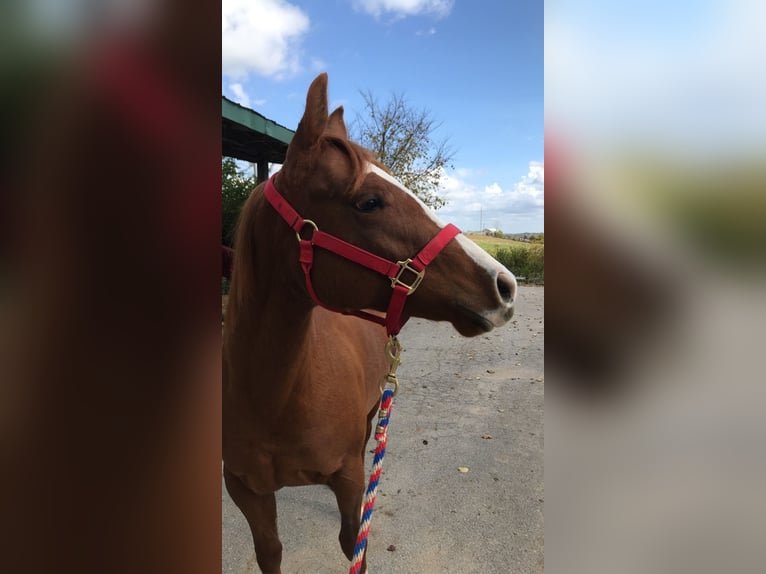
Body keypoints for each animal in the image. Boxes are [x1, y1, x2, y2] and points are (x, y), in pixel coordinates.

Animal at [224, 74, 520, 572]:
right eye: (369, 202)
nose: (505, 285)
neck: (275, 395)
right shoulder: (247, 491)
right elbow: (271, 553)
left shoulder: (345, 477)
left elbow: (353, 541)